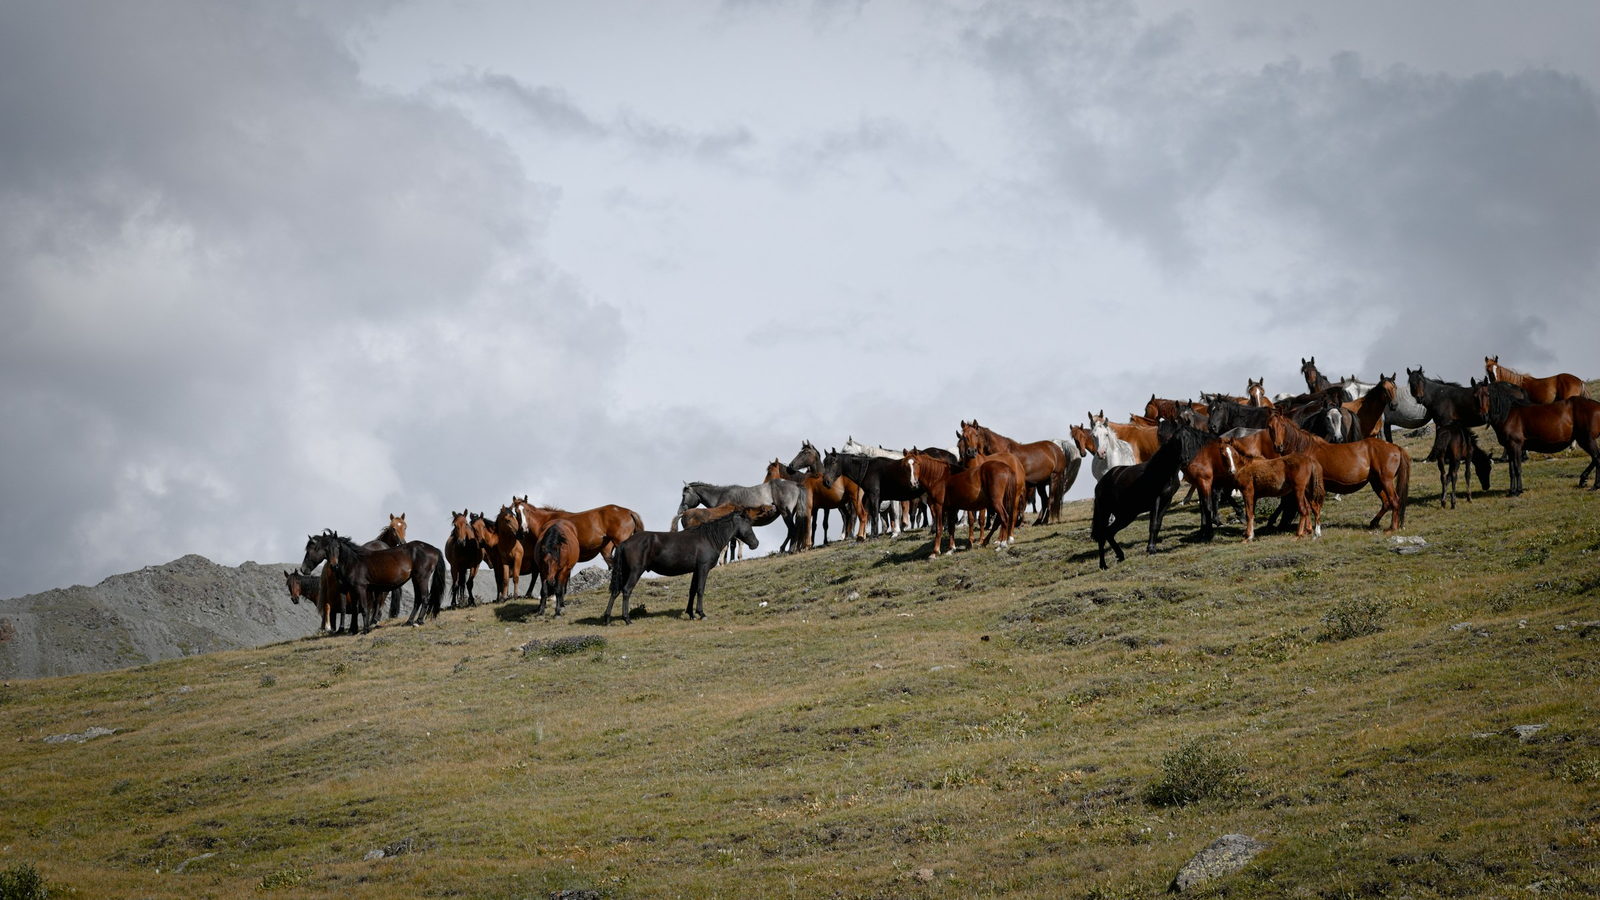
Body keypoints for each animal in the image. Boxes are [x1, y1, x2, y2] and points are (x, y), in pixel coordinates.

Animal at [300, 531, 447, 632]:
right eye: (326, 549)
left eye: (337, 547)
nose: (303, 569)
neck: (354, 562)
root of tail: (434, 549)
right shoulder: (352, 590)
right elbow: (355, 608)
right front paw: (353, 629)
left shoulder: (361, 588)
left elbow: (364, 608)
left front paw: (365, 629)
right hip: (416, 579)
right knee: (417, 599)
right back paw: (409, 621)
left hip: (422, 578)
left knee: (424, 597)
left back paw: (419, 621)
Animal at [603, 510, 761, 624]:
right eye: (748, 523)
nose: (756, 543)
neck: (709, 538)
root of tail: (624, 543)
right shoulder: (703, 568)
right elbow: (700, 590)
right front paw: (701, 613)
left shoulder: (696, 570)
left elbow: (692, 591)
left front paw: (691, 614)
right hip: (635, 571)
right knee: (626, 590)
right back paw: (627, 619)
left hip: (625, 571)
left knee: (615, 591)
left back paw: (607, 619)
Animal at [1092, 420, 1207, 568]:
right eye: (1176, 440)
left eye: (1190, 439)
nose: (1185, 459)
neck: (1163, 470)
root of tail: (1100, 483)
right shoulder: (1156, 500)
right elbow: (1153, 523)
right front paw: (1151, 549)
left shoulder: (1167, 500)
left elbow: (1157, 524)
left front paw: (1152, 547)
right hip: (1106, 512)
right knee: (1102, 534)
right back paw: (1103, 565)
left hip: (1126, 515)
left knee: (1109, 532)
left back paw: (1120, 555)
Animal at [1265, 415, 1410, 532]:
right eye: (1270, 427)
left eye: (1283, 426)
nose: (1278, 446)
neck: (1305, 449)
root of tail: (1396, 448)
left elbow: (1305, 506)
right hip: (1376, 482)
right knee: (1386, 502)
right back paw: (1373, 523)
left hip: (1386, 481)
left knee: (1394, 501)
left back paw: (1392, 528)